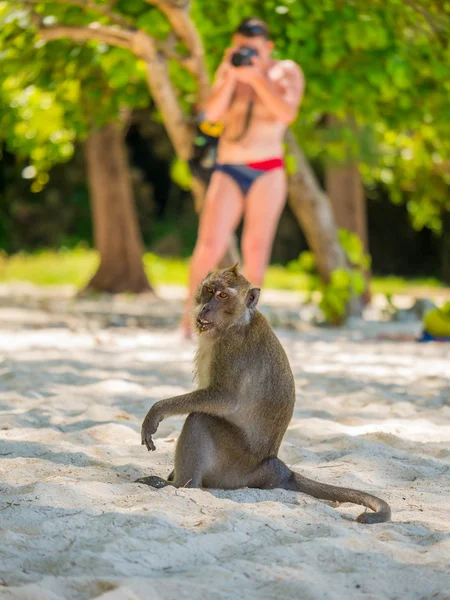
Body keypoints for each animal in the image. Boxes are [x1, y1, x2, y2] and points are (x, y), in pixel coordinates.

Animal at [137, 264, 390, 524]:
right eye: (208, 290)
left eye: (223, 296)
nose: (205, 307)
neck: (233, 323)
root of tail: (271, 467)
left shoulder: (231, 350)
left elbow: (223, 398)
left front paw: (158, 410)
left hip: (234, 466)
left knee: (199, 419)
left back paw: (181, 485)